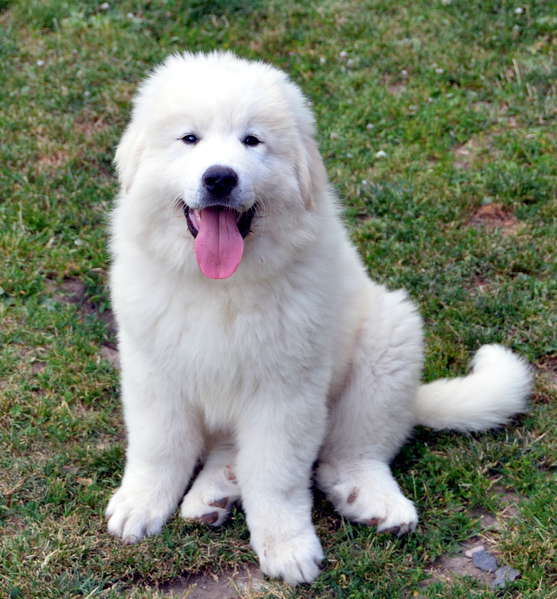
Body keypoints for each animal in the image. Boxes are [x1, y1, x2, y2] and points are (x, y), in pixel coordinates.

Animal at [105, 52, 528, 584]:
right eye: (189, 139)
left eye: (252, 140)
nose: (220, 177)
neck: (221, 285)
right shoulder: (153, 370)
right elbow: (158, 448)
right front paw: (140, 504)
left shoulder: (286, 391)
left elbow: (276, 475)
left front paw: (287, 547)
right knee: (229, 447)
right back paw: (215, 493)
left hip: (388, 340)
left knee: (347, 452)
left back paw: (369, 498)